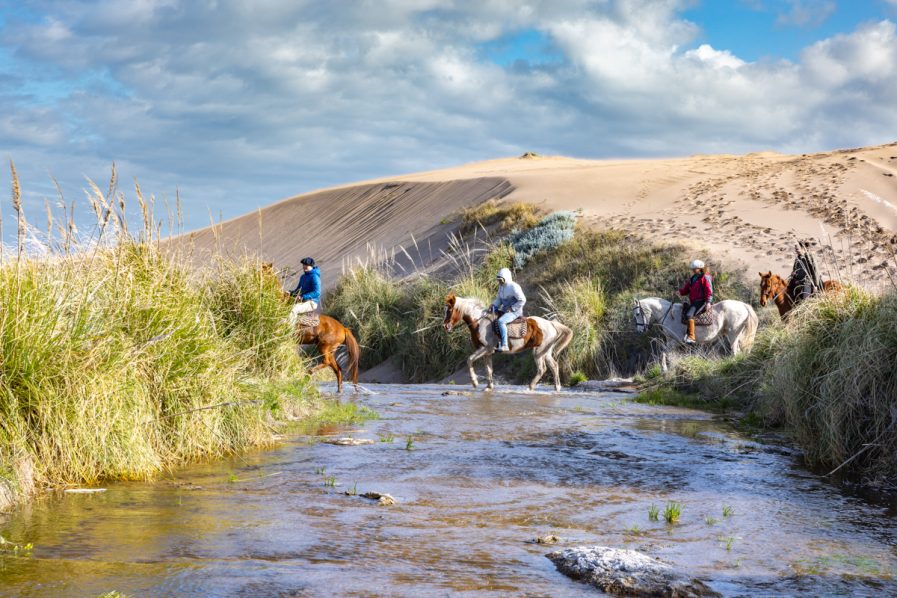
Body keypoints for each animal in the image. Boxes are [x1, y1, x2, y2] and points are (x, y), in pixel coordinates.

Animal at [440, 292, 576, 394]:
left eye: (450, 310)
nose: (445, 326)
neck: (480, 322)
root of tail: (551, 324)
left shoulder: (485, 349)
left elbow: (469, 360)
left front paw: (474, 382)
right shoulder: (487, 353)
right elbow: (488, 370)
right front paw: (488, 387)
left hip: (538, 352)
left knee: (542, 369)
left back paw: (530, 387)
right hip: (545, 352)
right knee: (554, 366)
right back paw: (556, 388)